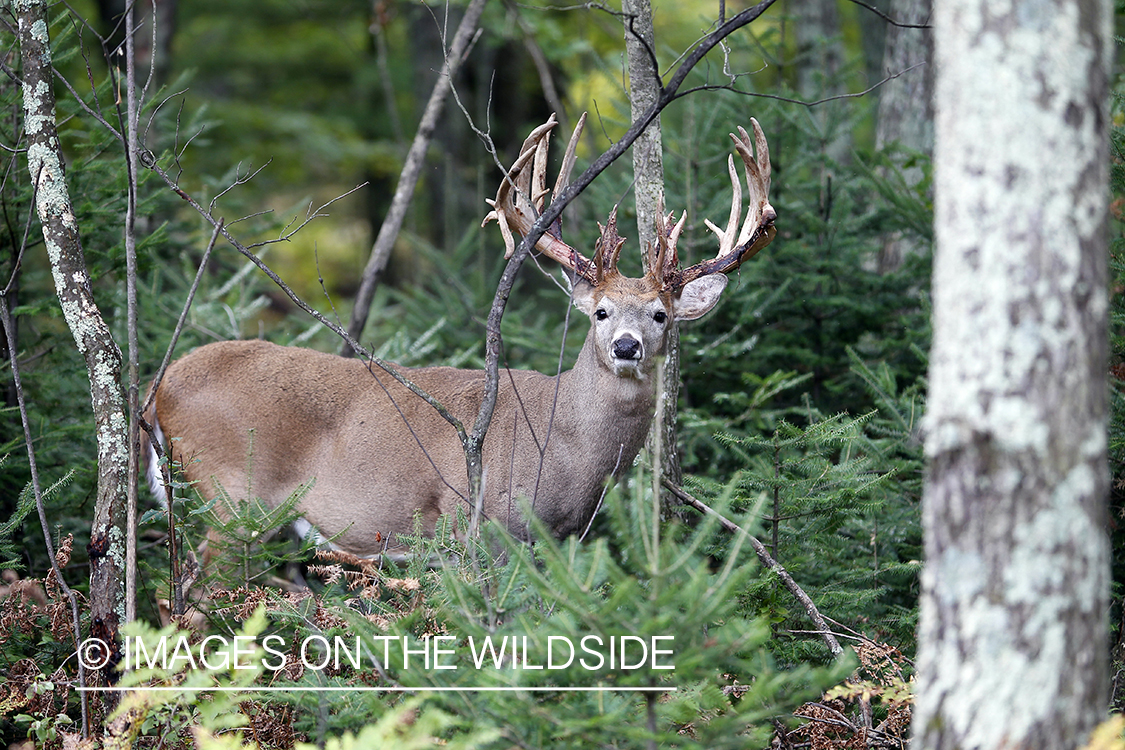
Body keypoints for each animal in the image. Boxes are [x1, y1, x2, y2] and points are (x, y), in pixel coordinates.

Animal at [149, 114, 778, 559]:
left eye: (661, 315)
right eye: (600, 312)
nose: (627, 346)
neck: (565, 450)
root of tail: (160, 389)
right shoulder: (473, 523)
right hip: (235, 497)